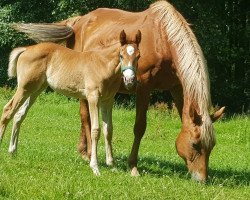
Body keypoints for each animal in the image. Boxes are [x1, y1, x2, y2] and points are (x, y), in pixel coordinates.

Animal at [0, 29, 141, 175]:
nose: (130, 80)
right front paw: (95, 167)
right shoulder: (93, 98)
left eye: (138, 56)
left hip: (36, 89)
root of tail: (26, 49)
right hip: (24, 88)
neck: (102, 65)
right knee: (8, 110)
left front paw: (112, 165)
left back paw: (12, 151)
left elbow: (109, 130)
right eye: (121, 55)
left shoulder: (108, 100)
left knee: (19, 115)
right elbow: (96, 130)